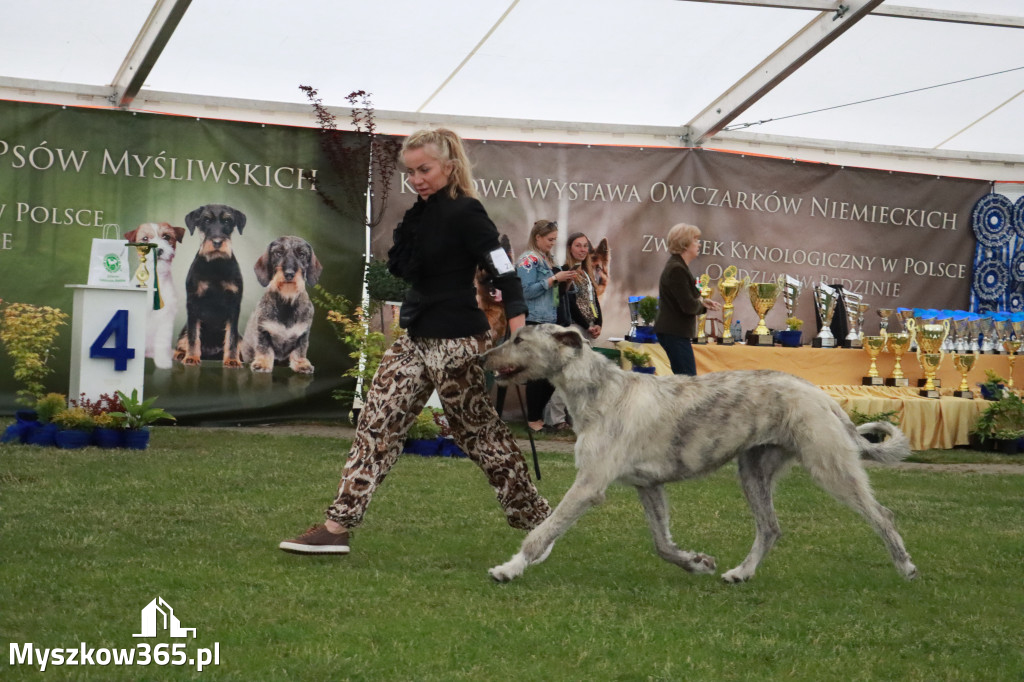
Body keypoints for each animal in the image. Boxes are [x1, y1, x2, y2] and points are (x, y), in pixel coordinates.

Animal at [481, 323, 921, 577]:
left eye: (518, 339)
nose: (483, 356)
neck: (600, 390)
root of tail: (823, 395)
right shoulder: (648, 485)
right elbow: (662, 544)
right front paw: (696, 562)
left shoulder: (590, 484)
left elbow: (544, 529)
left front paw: (510, 567)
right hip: (753, 471)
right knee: (770, 527)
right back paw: (741, 573)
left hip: (828, 465)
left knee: (882, 514)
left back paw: (906, 565)